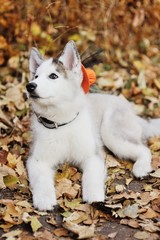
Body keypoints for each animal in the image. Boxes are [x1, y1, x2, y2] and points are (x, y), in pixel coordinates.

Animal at [26, 40, 160, 211]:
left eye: (53, 76)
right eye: (36, 76)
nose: (30, 86)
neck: (61, 124)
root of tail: (130, 109)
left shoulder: (92, 156)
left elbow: (91, 177)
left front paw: (94, 197)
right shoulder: (37, 160)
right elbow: (41, 180)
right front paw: (44, 199)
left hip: (111, 134)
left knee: (144, 149)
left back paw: (141, 168)